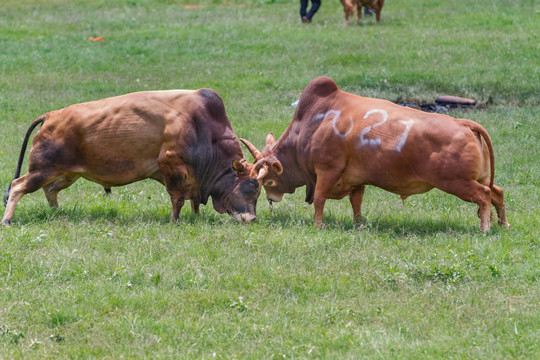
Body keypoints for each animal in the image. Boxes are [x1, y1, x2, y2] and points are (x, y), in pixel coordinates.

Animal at [2, 88, 264, 225]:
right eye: (250, 186)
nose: (252, 218)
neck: (203, 127)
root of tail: (52, 115)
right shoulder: (171, 168)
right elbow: (177, 199)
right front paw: (174, 222)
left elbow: (193, 202)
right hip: (42, 170)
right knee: (17, 186)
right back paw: (7, 219)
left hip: (68, 174)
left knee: (50, 190)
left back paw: (58, 214)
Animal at [243, 77, 508, 232]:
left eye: (268, 181)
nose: (271, 199)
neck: (310, 126)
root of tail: (464, 123)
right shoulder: (356, 180)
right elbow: (356, 202)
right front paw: (358, 223)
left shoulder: (327, 171)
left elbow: (319, 199)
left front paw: (317, 226)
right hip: (479, 178)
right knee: (497, 192)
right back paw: (502, 224)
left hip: (457, 182)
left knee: (484, 196)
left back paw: (485, 228)